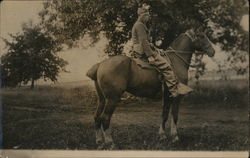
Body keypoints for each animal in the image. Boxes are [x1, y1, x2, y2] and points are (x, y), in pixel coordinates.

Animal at [86, 28, 215, 149]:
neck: (175, 61)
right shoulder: (176, 96)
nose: (213, 51)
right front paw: (175, 137)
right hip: (112, 99)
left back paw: (99, 142)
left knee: (97, 117)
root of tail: (101, 64)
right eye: (202, 36)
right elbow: (175, 115)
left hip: (102, 99)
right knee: (105, 118)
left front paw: (162, 136)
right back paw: (110, 143)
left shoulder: (167, 96)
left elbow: (164, 114)